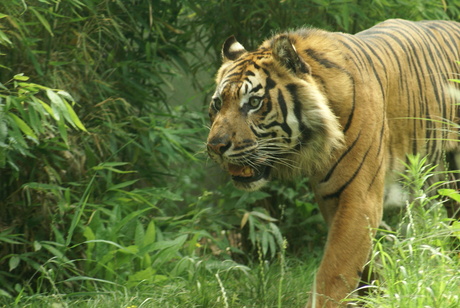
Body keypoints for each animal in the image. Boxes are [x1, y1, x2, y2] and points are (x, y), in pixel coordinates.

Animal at [206, 19, 460, 308]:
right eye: (218, 103)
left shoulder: (359, 197)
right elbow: (363, 260)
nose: (215, 146)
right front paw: (375, 295)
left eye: (254, 102)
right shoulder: (330, 196)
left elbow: (335, 268)